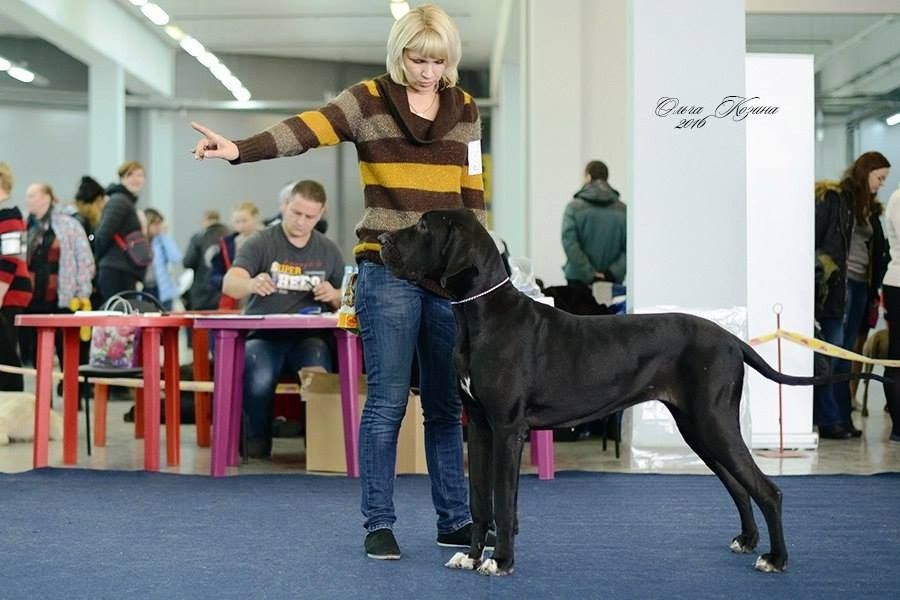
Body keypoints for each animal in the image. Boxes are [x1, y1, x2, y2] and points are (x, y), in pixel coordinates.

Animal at [378, 209, 887, 577]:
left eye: (423, 226)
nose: (378, 241)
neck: (480, 314)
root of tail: (731, 339)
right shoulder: (482, 428)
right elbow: (480, 500)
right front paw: (471, 555)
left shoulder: (507, 429)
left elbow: (503, 503)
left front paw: (500, 562)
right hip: (698, 428)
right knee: (739, 487)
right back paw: (748, 542)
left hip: (713, 423)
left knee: (767, 490)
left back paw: (776, 559)